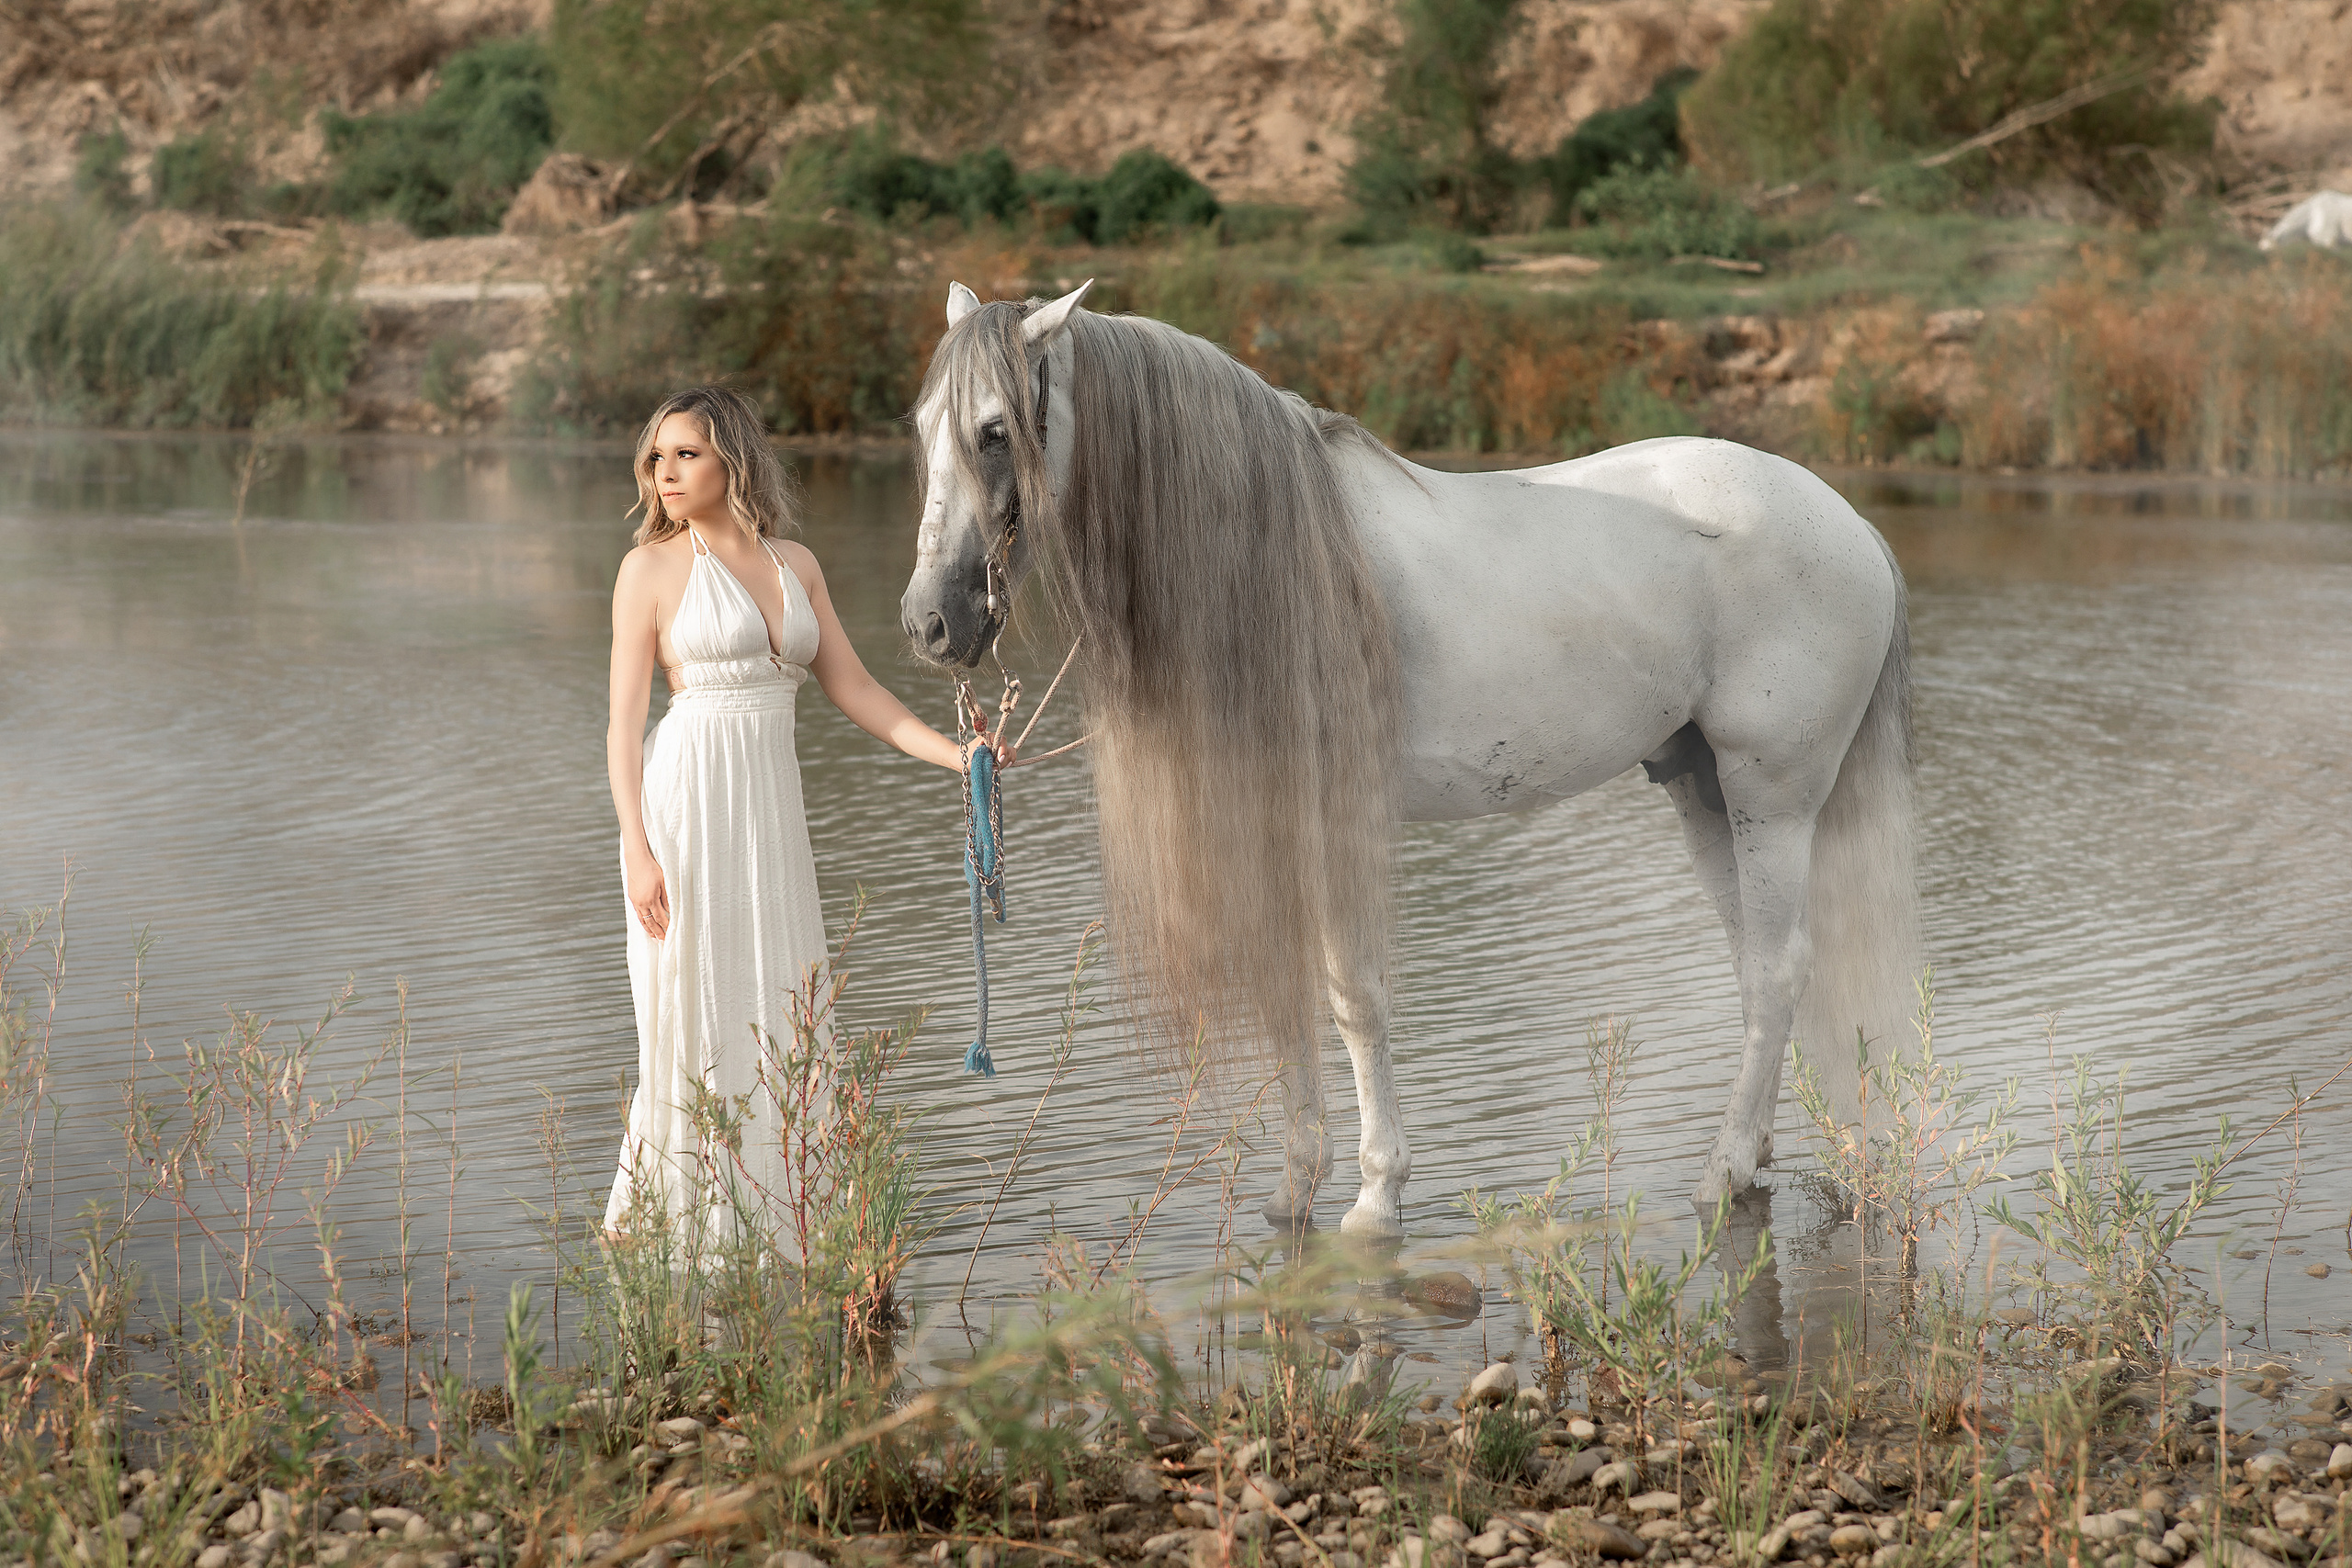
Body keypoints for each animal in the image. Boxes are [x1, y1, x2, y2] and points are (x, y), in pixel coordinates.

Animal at [900, 282, 1917, 1241]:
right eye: (920, 426)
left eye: (995, 431)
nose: (930, 624)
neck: (1280, 559)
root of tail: (1852, 526)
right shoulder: (1275, 821)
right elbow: (1290, 998)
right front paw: (1293, 1192)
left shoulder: (1337, 821)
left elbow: (1354, 998)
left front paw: (1375, 1195)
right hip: (1701, 789)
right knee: (1755, 970)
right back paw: (1751, 1157)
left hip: (1770, 796)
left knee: (1780, 970)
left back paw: (1720, 1171)